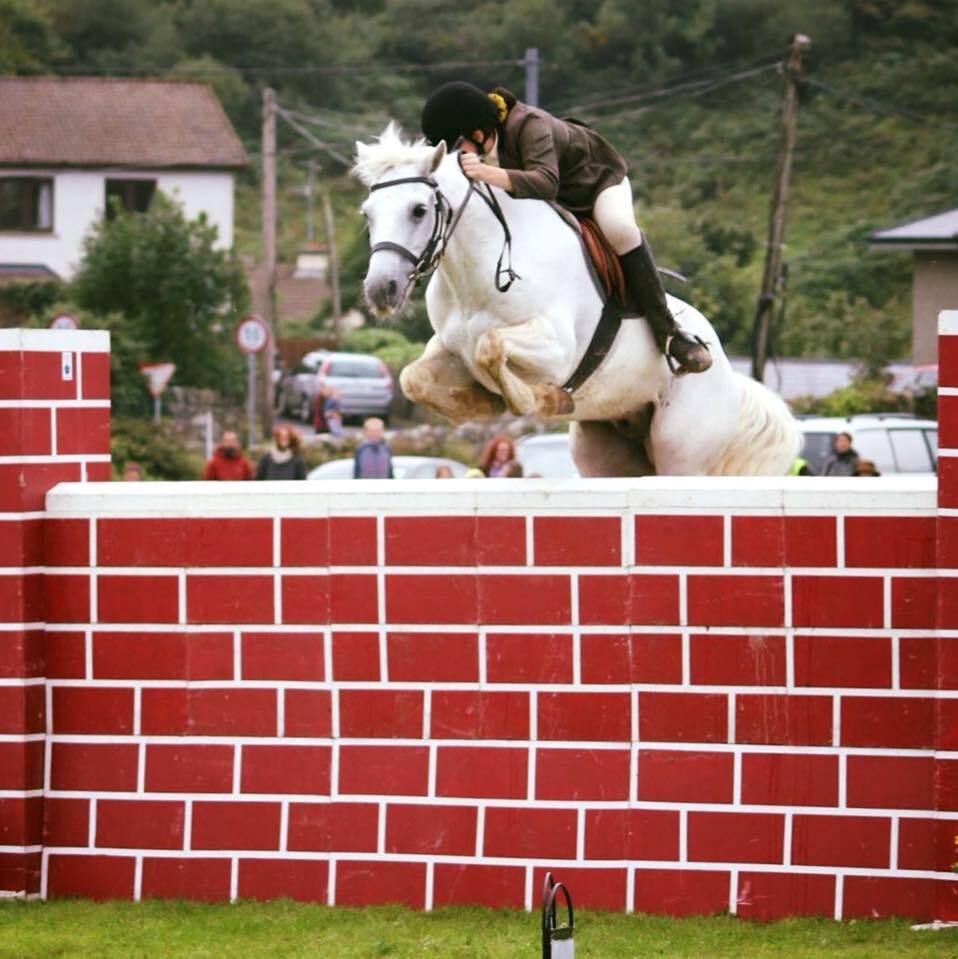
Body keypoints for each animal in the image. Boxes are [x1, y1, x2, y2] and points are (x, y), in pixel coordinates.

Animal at [353, 123, 801, 476]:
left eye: (418, 210)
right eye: (367, 214)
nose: (381, 290)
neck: (478, 274)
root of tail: (728, 372)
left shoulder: (557, 352)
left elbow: (491, 347)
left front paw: (541, 400)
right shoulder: (449, 350)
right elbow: (414, 378)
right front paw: (479, 405)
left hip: (683, 452)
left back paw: (686, 349)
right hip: (604, 454)